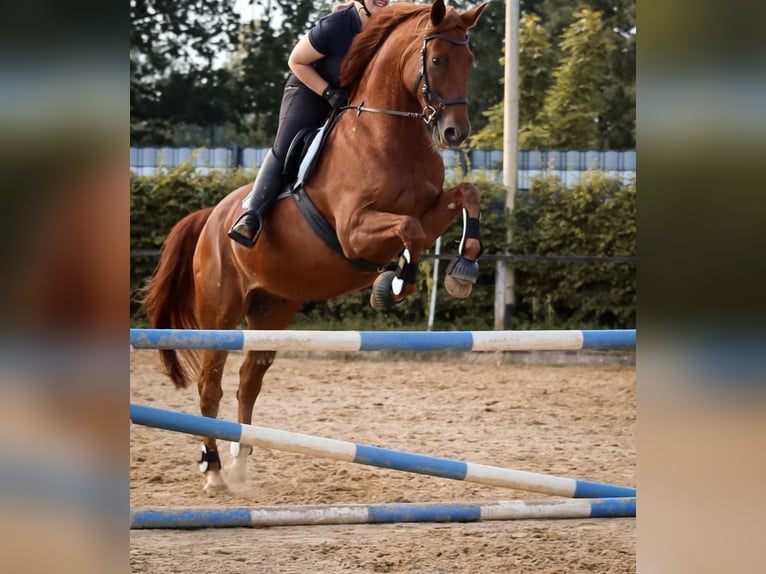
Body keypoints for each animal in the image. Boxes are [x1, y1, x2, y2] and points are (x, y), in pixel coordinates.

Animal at [141, 1, 488, 496]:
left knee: (248, 380)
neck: (388, 134)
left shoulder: (431, 210)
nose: (455, 132)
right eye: (437, 60)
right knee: (211, 386)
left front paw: (462, 270)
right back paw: (214, 472)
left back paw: (241, 463)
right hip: (221, 312)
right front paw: (393, 283)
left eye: (470, 61)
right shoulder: (354, 230)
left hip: (272, 308)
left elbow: (466, 196)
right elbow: (409, 231)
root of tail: (210, 216)